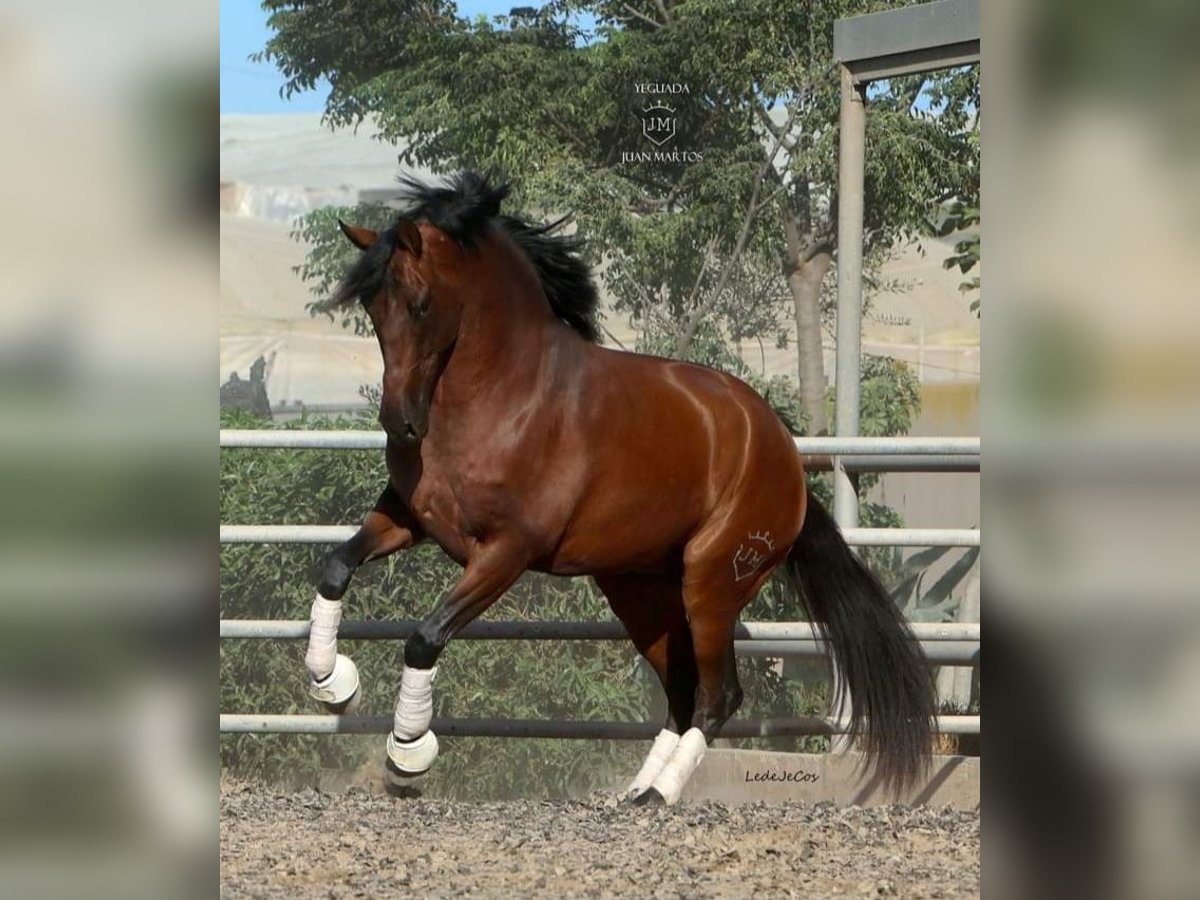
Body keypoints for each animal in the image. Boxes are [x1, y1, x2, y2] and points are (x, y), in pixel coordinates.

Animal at [302, 172, 936, 806]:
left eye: (420, 304)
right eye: (371, 307)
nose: (400, 424)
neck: (501, 397)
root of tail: (782, 452)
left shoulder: (506, 552)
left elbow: (425, 636)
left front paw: (406, 756)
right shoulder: (411, 518)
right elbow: (335, 567)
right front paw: (332, 683)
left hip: (712, 584)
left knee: (717, 695)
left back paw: (659, 796)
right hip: (640, 592)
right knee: (681, 691)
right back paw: (636, 790)